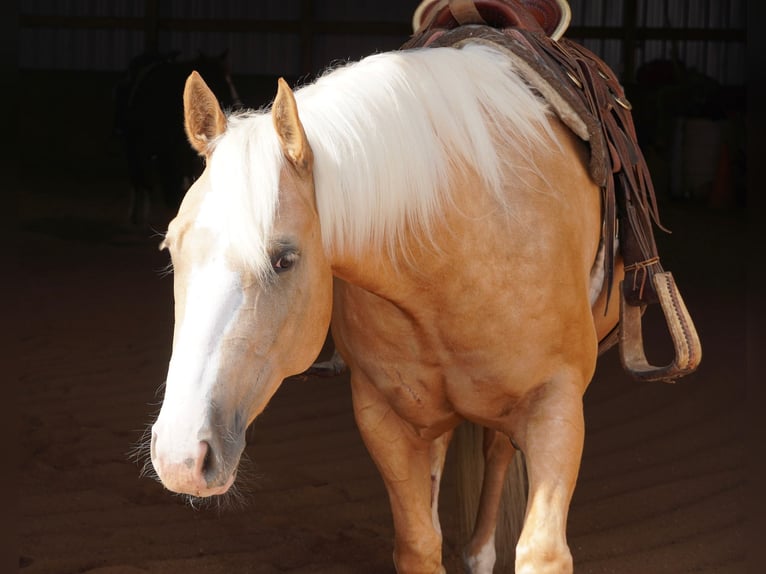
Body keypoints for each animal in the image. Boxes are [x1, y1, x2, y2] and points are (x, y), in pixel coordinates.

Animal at [145, 24, 699, 573]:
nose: (181, 458)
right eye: (171, 248)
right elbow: (418, 543)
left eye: (284, 259)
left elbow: (542, 552)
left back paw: (479, 552)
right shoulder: (385, 416)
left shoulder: (555, 405)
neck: (464, 243)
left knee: (498, 451)